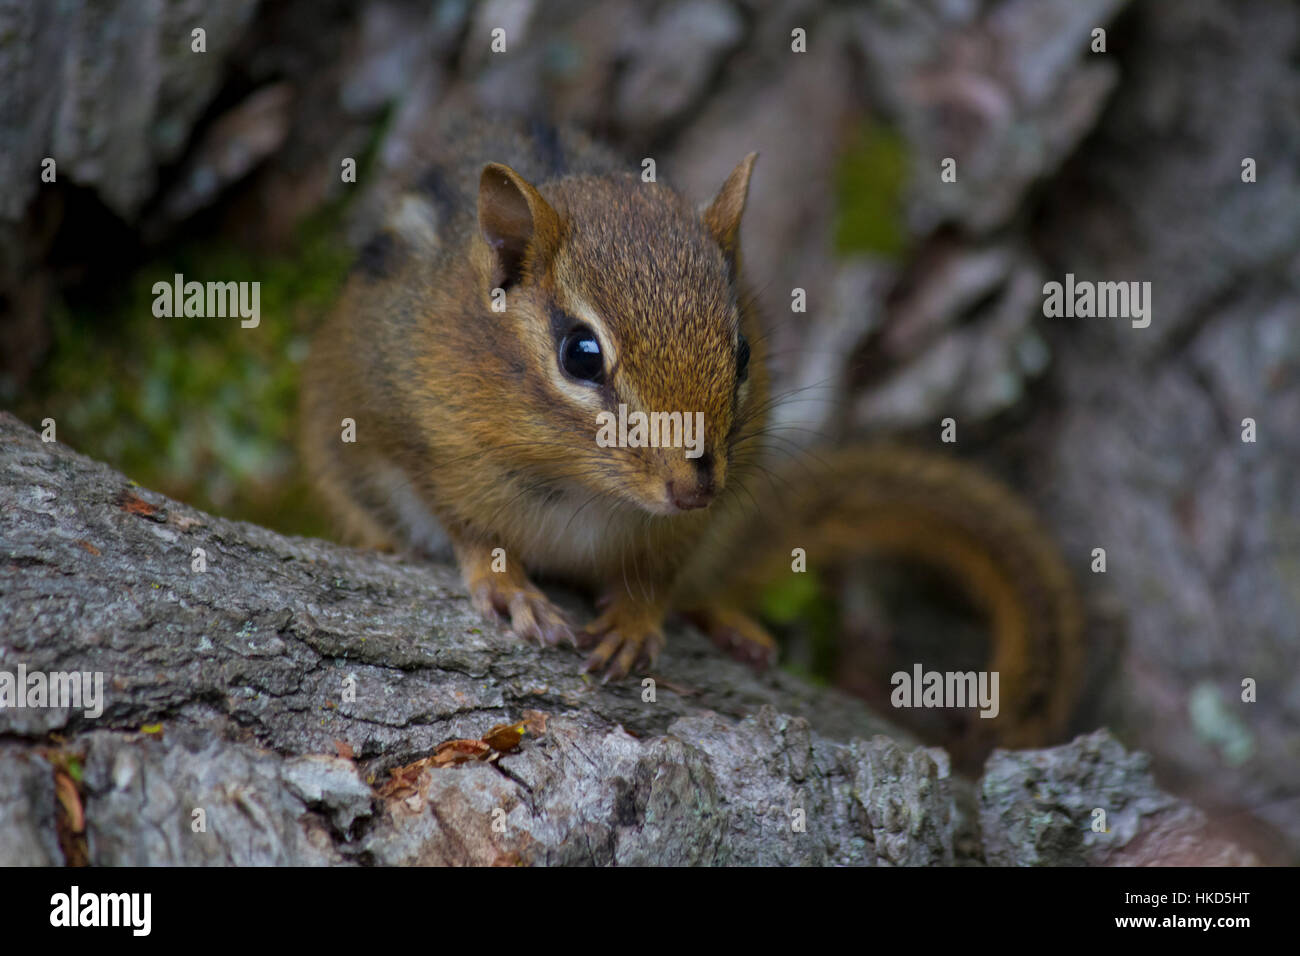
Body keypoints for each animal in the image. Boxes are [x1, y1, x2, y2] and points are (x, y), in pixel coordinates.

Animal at [300, 117, 1083, 758]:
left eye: (742, 354)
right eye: (580, 354)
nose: (693, 486)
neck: (586, 491)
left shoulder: (689, 524)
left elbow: (661, 571)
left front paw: (635, 620)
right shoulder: (413, 435)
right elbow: (464, 526)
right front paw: (509, 587)